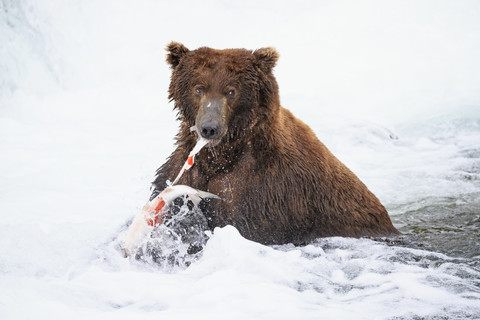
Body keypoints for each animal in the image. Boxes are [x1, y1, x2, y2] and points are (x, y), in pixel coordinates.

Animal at [152, 40, 400, 245]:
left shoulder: (263, 190)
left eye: (231, 90)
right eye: (198, 88)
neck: (223, 155)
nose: (209, 128)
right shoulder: (183, 172)